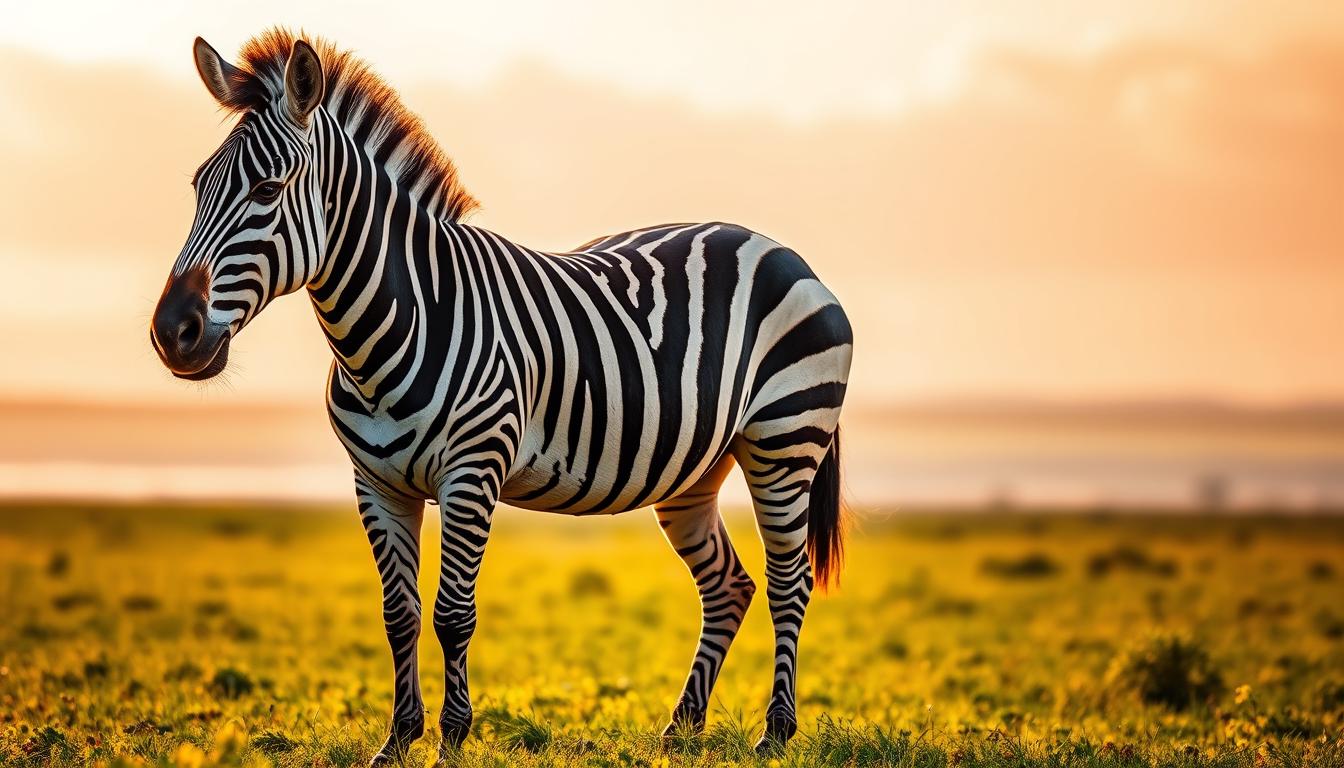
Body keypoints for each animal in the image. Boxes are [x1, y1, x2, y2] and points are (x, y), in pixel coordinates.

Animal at [150, 29, 853, 764]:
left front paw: (453, 739)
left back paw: (775, 733)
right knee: (728, 585)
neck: (392, 326)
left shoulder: (472, 472)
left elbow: (452, 614)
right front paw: (398, 740)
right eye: (198, 186)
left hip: (785, 441)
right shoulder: (377, 484)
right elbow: (398, 615)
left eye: (267, 189)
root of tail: (779, 249)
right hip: (693, 470)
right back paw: (681, 728)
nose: (172, 333)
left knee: (788, 584)